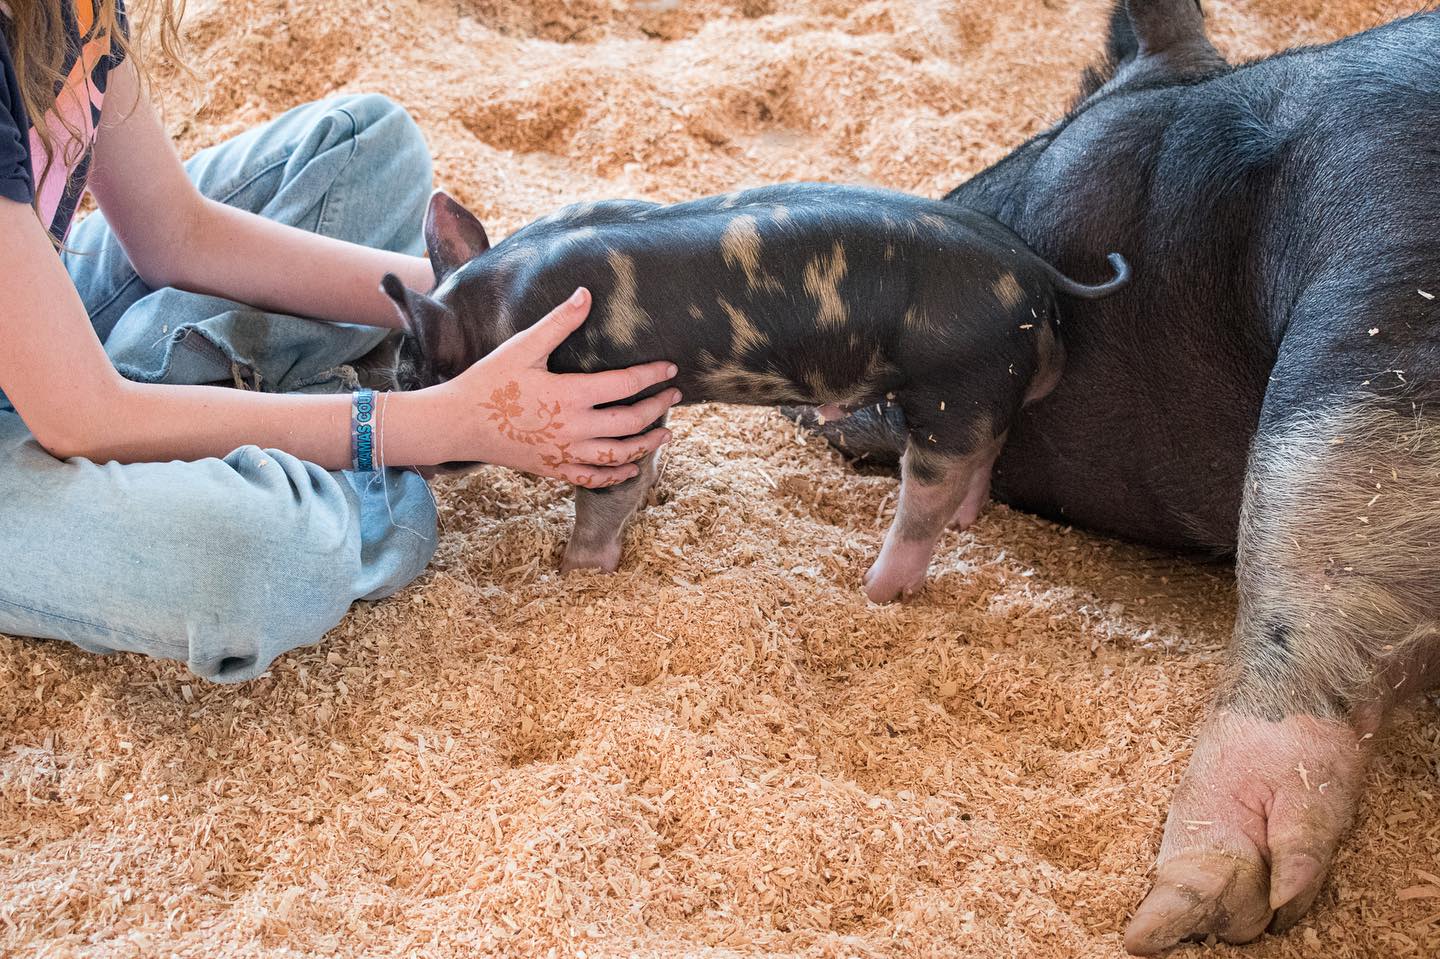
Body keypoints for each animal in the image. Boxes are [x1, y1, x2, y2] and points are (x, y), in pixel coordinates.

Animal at [379, 183, 1130, 602]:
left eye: (413, 379)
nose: (402, 460)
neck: (506, 311)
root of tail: (1038, 275)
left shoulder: (609, 402)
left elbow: (607, 498)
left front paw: (577, 573)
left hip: (955, 385)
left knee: (930, 493)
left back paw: (875, 591)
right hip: (981, 392)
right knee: (986, 453)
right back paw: (967, 525)